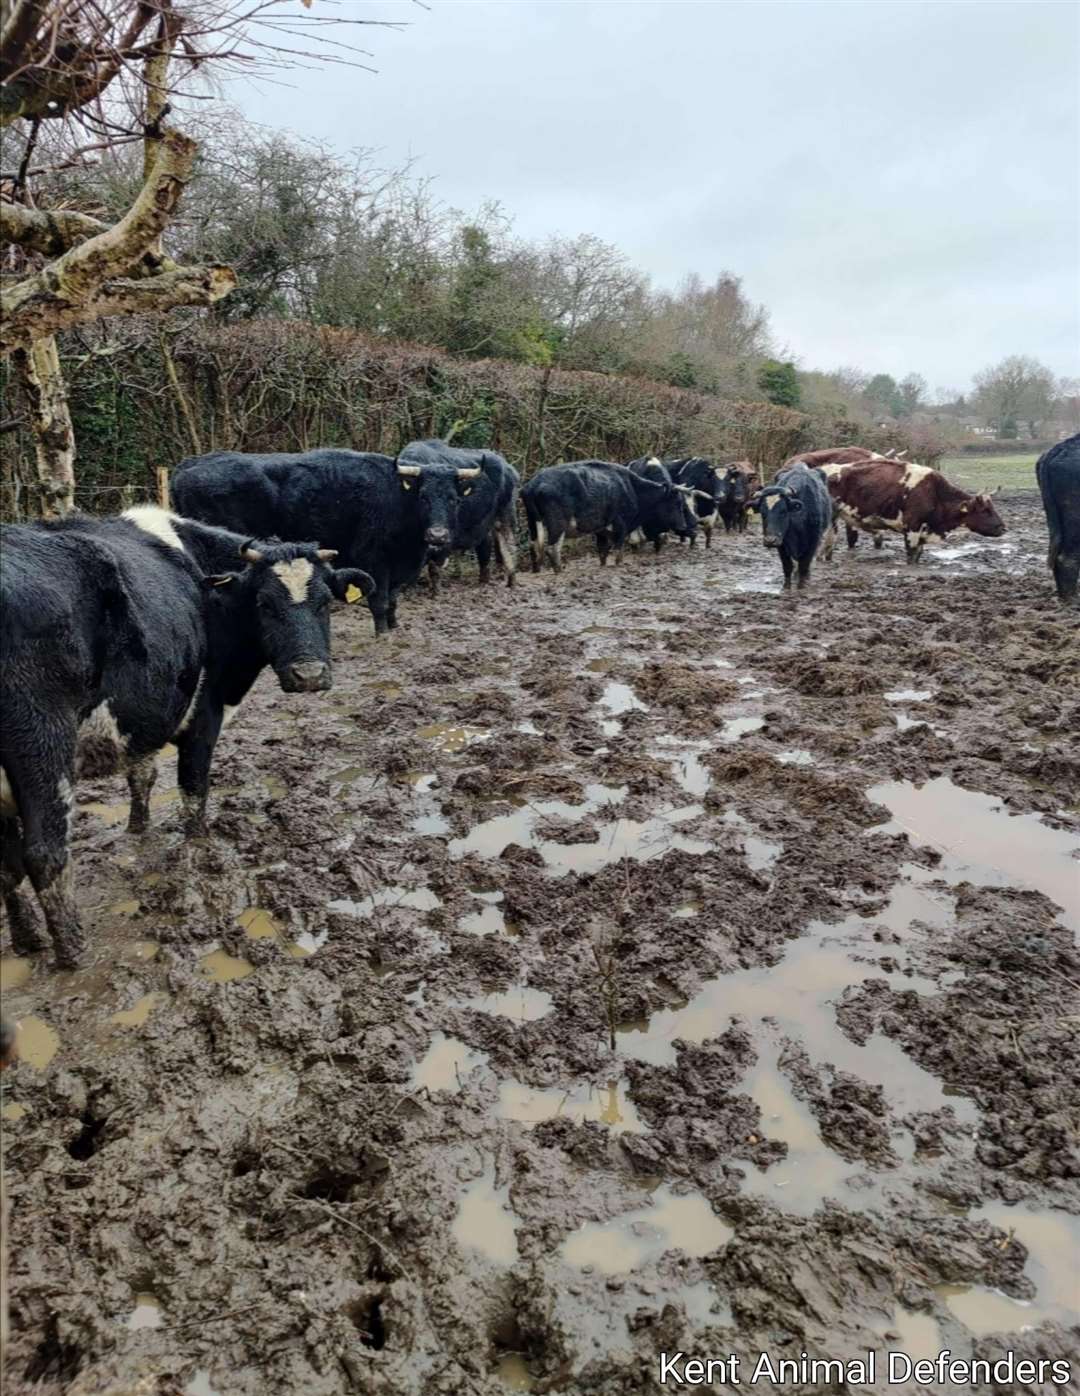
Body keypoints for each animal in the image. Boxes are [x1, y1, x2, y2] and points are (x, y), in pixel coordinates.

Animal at [0, 508, 371, 966]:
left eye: (325, 603)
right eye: (264, 604)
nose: (309, 675)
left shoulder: (145, 717)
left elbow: (142, 779)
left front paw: (137, 833)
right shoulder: (202, 720)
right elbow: (194, 793)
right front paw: (200, 850)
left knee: (5, 861)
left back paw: (27, 939)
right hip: (41, 746)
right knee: (45, 853)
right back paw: (73, 955)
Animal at [399, 435, 521, 589]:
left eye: (453, 498)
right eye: (423, 497)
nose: (437, 535)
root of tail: (509, 469)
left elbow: (434, 567)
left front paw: (435, 590)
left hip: (505, 516)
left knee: (509, 544)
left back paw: (511, 580)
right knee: (485, 546)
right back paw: (483, 580)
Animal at [527, 455, 703, 569]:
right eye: (677, 502)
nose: (685, 525)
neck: (632, 488)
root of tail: (534, 484)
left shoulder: (601, 530)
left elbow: (603, 552)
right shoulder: (621, 525)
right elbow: (619, 551)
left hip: (533, 523)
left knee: (534, 546)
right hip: (557, 524)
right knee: (552, 548)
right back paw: (558, 570)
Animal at [826, 460, 1010, 563]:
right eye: (985, 510)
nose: (1003, 528)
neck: (935, 493)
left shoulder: (923, 532)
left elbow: (918, 555)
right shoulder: (912, 528)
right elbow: (911, 555)